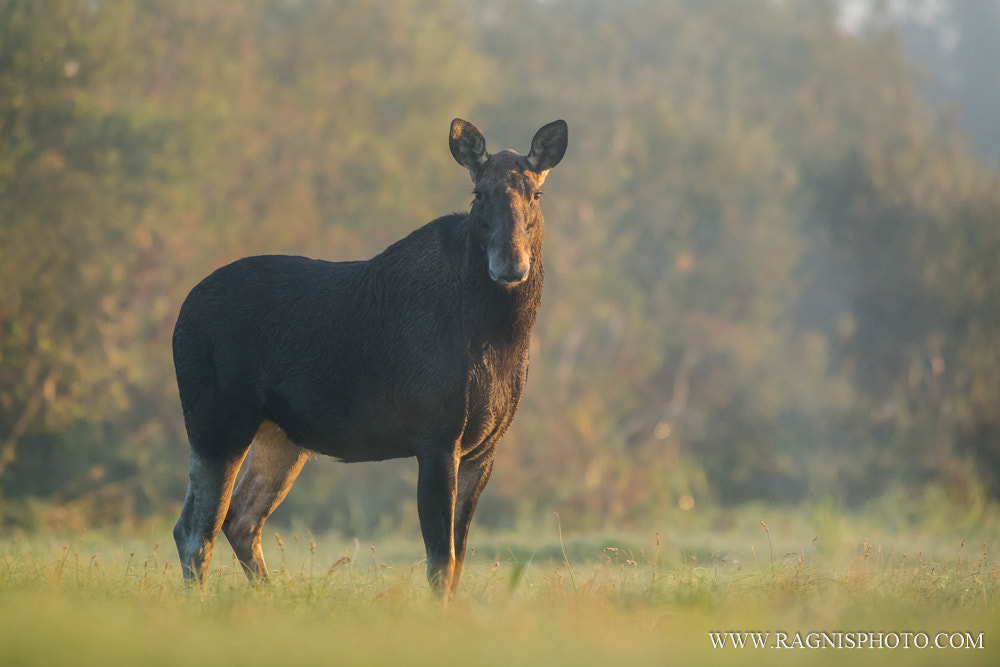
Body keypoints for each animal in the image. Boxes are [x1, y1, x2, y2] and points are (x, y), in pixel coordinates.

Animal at [171, 118, 567, 599]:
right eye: (478, 193)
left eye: (536, 193)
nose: (510, 262)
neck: (502, 336)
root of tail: (181, 315)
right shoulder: (435, 436)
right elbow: (440, 560)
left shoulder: (484, 447)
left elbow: (456, 560)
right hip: (216, 422)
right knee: (196, 529)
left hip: (282, 435)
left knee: (239, 519)